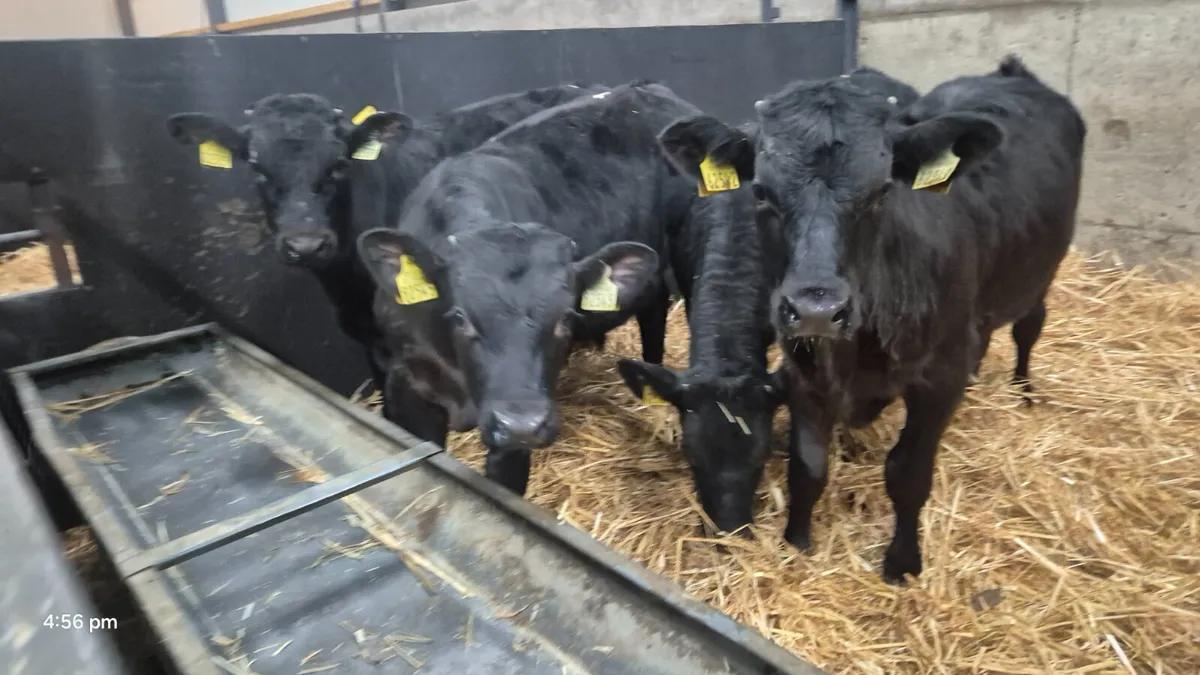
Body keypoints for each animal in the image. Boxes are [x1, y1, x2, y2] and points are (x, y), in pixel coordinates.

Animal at [652, 55, 1085, 583]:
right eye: (761, 192)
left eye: (881, 192)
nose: (816, 309)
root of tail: (1012, 74)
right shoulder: (802, 374)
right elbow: (808, 467)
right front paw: (798, 541)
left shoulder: (938, 381)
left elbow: (907, 473)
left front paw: (902, 563)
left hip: (1041, 275)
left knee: (1028, 327)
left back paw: (1023, 391)